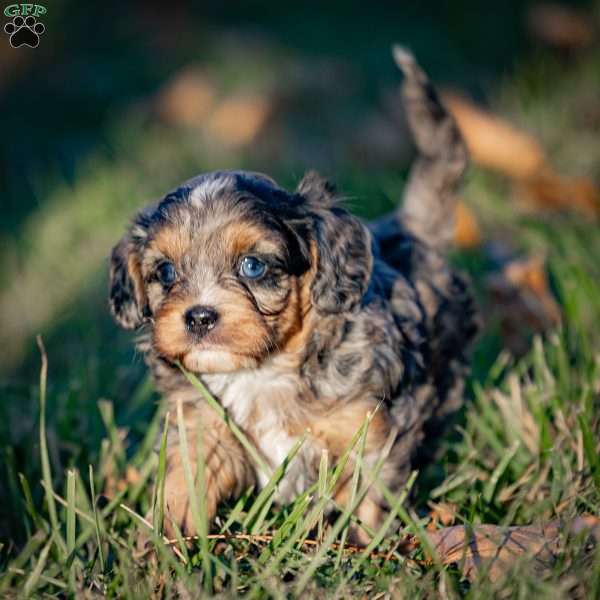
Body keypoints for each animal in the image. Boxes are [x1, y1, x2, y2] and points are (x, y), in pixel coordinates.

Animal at [109, 49, 478, 540]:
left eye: (253, 266)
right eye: (165, 272)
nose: (199, 316)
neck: (264, 371)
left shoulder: (370, 428)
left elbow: (368, 498)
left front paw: (367, 547)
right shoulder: (204, 425)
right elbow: (184, 484)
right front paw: (164, 545)